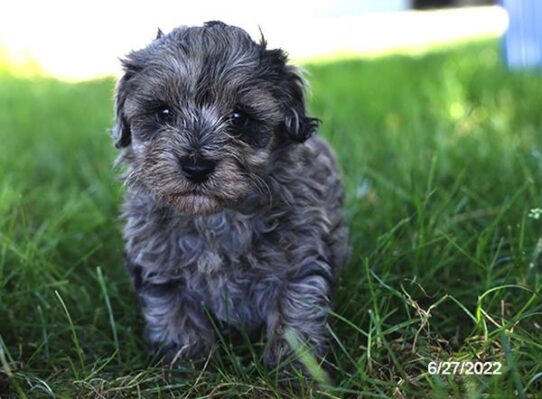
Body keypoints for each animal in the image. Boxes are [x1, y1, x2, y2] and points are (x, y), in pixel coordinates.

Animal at [114, 21, 350, 372]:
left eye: (238, 118)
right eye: (164, 113)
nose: (196, 166)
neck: (214, 216)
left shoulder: (298, 260)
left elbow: (295, 313)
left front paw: (294, 368)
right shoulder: (160, 268)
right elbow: (174, 315)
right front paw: (188, 362)